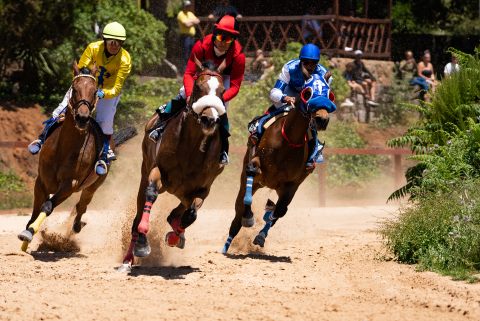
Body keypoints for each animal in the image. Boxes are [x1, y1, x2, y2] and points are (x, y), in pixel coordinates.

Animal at [17, 61, 111, 251]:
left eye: (95, 90)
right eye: (74, 88)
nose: (82, 118)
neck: (64, 149)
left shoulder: (70, 185)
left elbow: (47, 206)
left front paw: (30, 232)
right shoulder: (41, 181)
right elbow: (36, 209)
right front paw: (26, 235)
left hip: (93, 185)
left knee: (82, 205)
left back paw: (77, 225)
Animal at [118, 57, 227, 270]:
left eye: (222, 91)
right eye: (198, 87)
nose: (209, 119)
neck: (191, 149)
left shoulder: (203, 189)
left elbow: (191, 215)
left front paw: (174, 238)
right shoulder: (157, 172)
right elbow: (150, 195)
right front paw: (142, 244)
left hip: (183, 193)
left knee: (175, 215)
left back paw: (177, 232)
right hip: (146, 172)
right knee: (137, 217)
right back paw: (128, 259)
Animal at [221, 65, 334, 251]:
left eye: (328, 93)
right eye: (308, 92)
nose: (321, 120)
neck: (288, 140)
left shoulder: (291, 184)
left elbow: (279, 210)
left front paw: (262, 232)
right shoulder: (256, 166)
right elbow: (251, 175)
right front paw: (249, 217)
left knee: (278, 211)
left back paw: (261, 232)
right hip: (253, 181)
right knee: (238, 211)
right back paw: (227, 244)